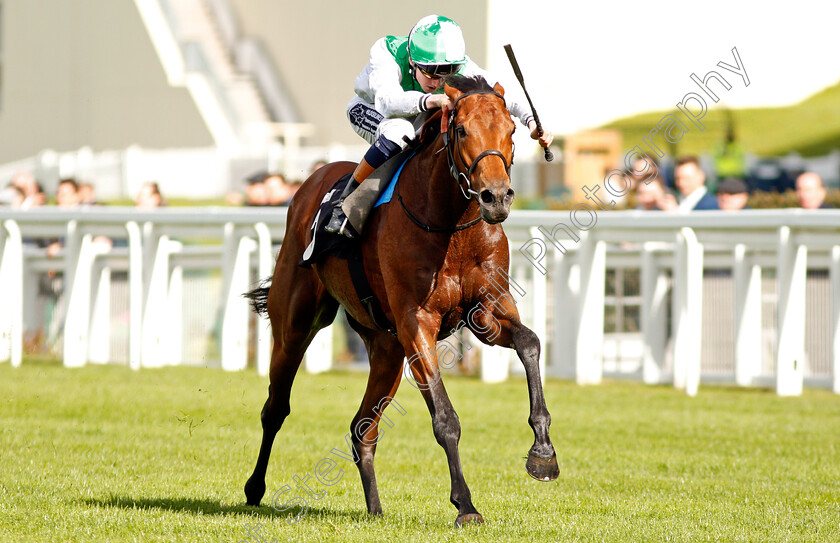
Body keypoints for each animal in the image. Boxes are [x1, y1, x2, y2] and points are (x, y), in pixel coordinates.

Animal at [243, 76, 556, 528]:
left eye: (512, 131)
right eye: (462, 130)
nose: (496, 197)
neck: (450, 225)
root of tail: (310, 182)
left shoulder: (487, 311)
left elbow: (530, 343)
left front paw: (543, 453)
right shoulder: (417, 324)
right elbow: (445, 419)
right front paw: (465, 505)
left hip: (386, 350)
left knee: (362, 429)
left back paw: (375, 509)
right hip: (295, 326)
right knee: (275, 408)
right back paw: (254, 489)